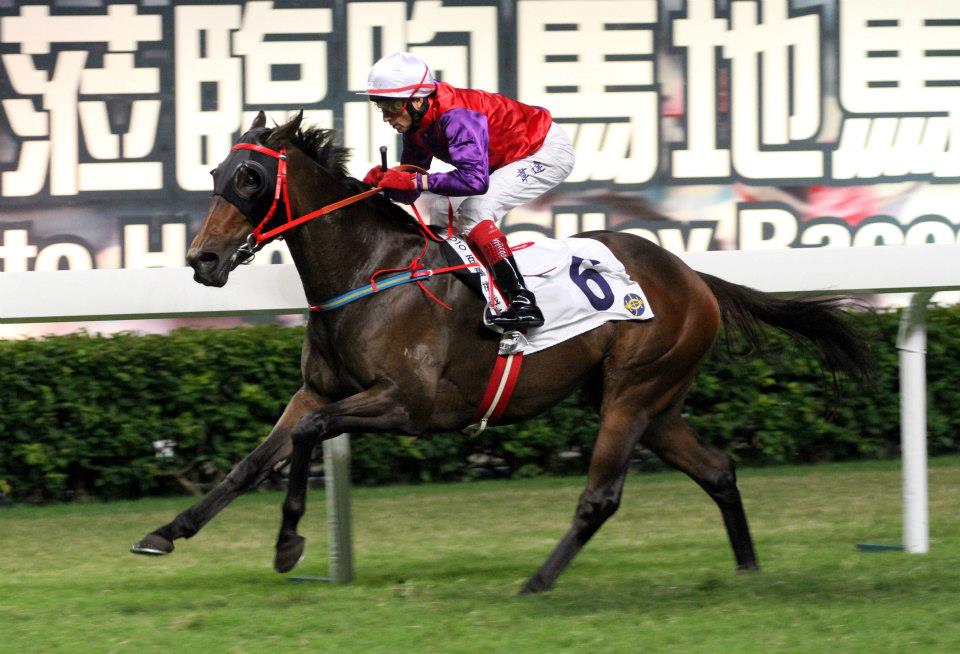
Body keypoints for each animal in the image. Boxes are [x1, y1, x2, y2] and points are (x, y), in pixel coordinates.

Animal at [131, 111, 872, 594]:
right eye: (216, 170)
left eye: (251, 178)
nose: (202, 259)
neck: (369, 271)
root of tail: (693, 276)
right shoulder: (319, 389)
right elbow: (253, 461)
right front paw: (166, 532)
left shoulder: (410, 407)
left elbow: (310, 436)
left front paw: (289, 543)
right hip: (652, 404)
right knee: (717, 469)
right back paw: (747, 570)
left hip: (633, 393)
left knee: (601, 496)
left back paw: (537, 582)